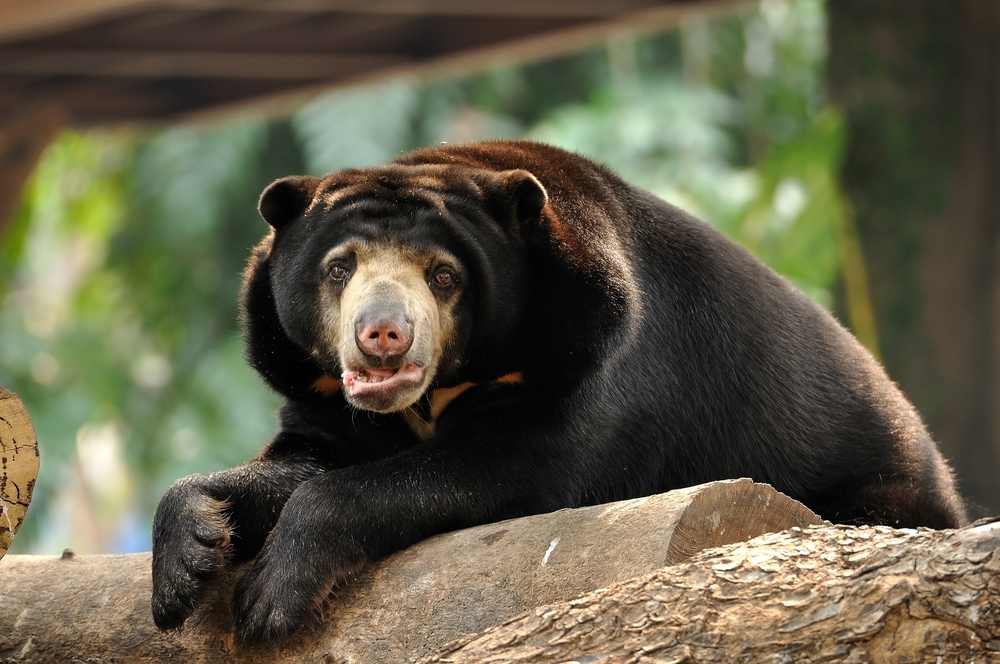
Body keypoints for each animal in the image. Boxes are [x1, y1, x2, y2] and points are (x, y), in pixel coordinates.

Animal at [150, 139, 968, 644]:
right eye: (339, 267)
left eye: (443, 275)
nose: (383, 335)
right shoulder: (320, 390)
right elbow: (302, 460)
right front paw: (187, 561)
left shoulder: (591, 361)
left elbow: (505, 467)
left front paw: (270, 599)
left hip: (876, 486)